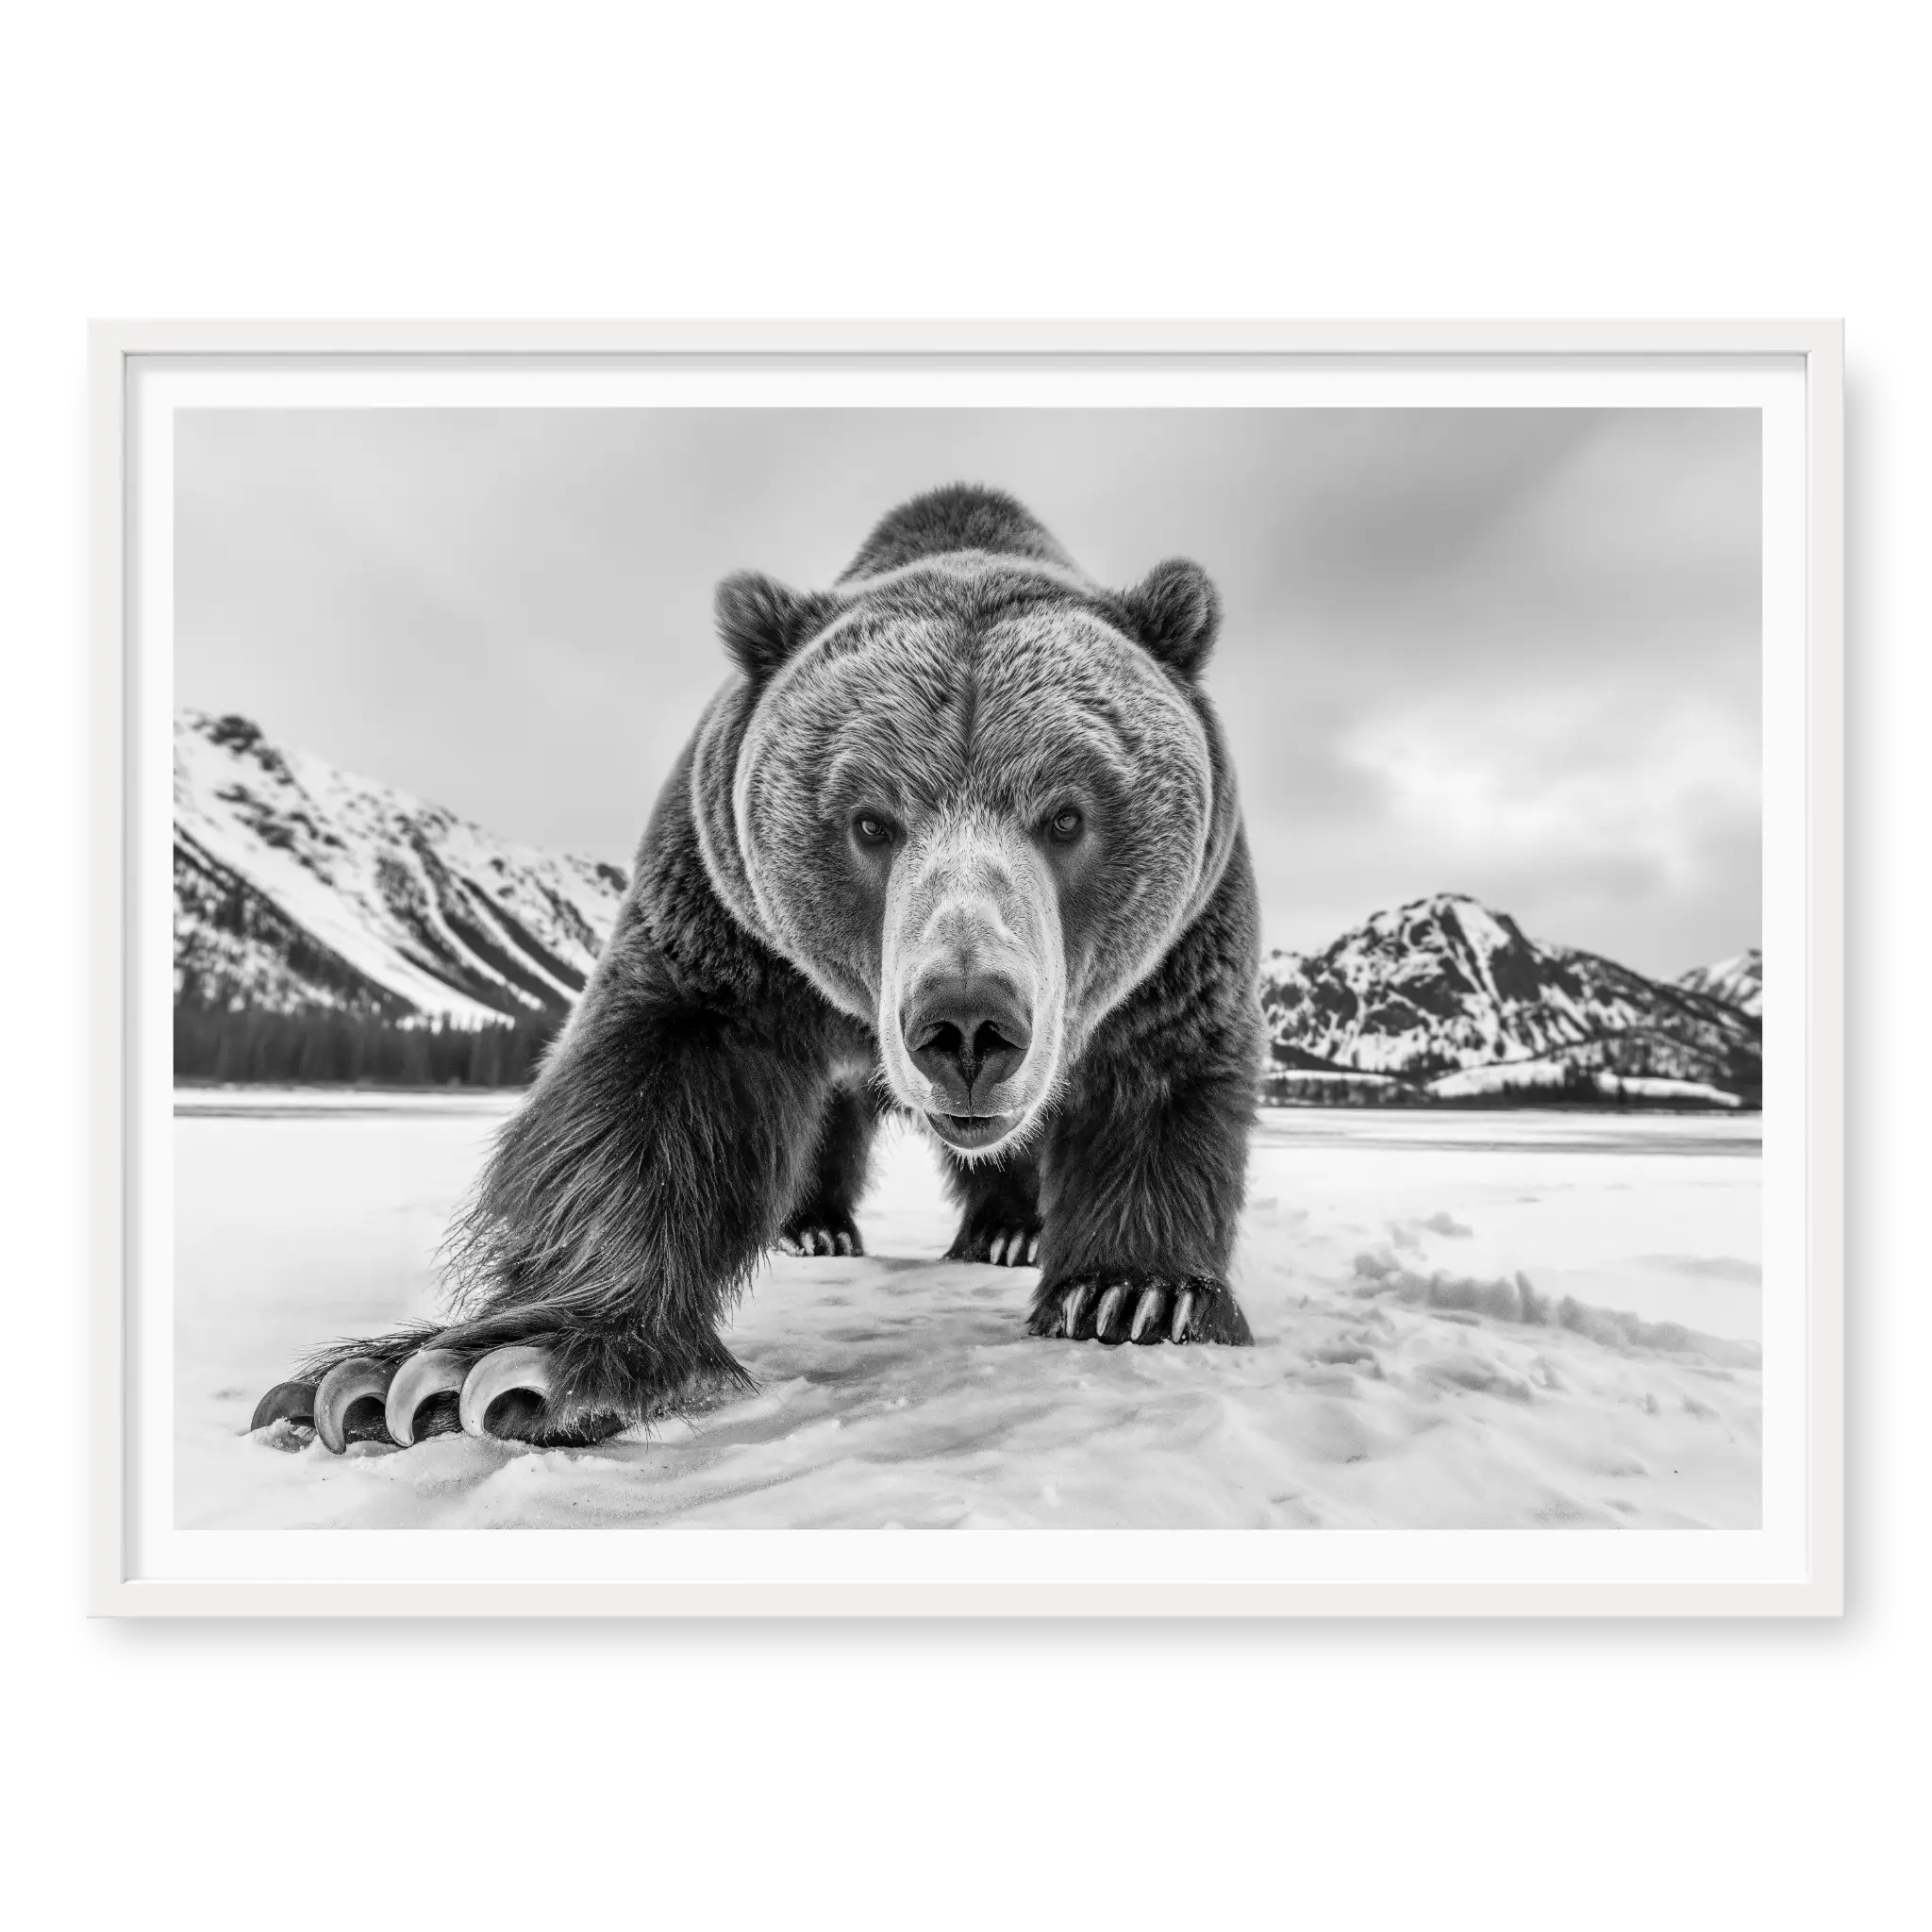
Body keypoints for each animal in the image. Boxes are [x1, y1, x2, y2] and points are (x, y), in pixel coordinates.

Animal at [251, 484, 1263, 1454]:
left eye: (1067, 814)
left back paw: (1011, 1233)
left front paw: (1132, 1295)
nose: (969, 1021)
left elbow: (1156, 1084)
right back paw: (817, 1225)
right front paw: (443, 1377)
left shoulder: (1178, 953)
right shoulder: (726, 932)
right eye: (870, 820)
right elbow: (655, 1096)